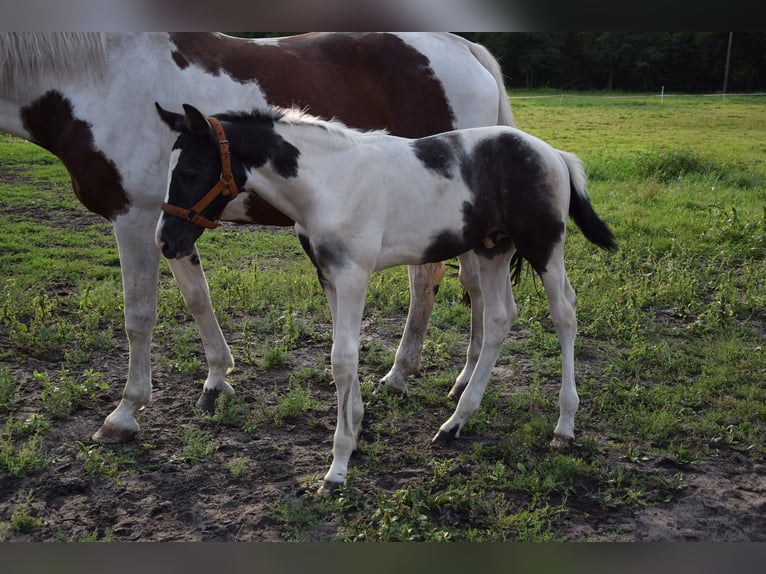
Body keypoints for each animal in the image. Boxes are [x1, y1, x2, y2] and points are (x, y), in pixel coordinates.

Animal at [1, 32, 516, 446]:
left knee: (453, 286)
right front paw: (215, 381)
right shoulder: (174, 222)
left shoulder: (137, 218)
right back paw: (424, 377)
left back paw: (445, 380)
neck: (101, 80)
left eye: (192, 168)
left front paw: (125, 413)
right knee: (453, 285)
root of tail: (464, 47)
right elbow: (197, 297)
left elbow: (139, 317)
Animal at [156, 104, 616, 496]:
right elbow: (345, 357)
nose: (165, 241)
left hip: (543, 246)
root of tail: (553, 153)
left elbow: (342, 359)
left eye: (193, 169)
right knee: (502, 317)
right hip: (493, 249)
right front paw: (356, 431)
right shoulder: (329, 276)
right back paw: (456, 421)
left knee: (564, 313)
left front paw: (337, 467)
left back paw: (564, 425)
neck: (329, 183)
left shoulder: (353, 275)